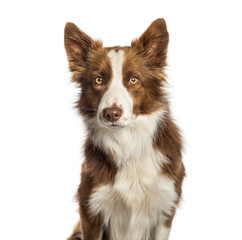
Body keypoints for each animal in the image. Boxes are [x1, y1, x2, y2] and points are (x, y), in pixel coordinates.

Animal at [64, 17, 185, 239]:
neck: (127, 142)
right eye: (98, 79)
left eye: (133, 79)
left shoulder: (165, 209)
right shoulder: (90, 208)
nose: (111, 114)